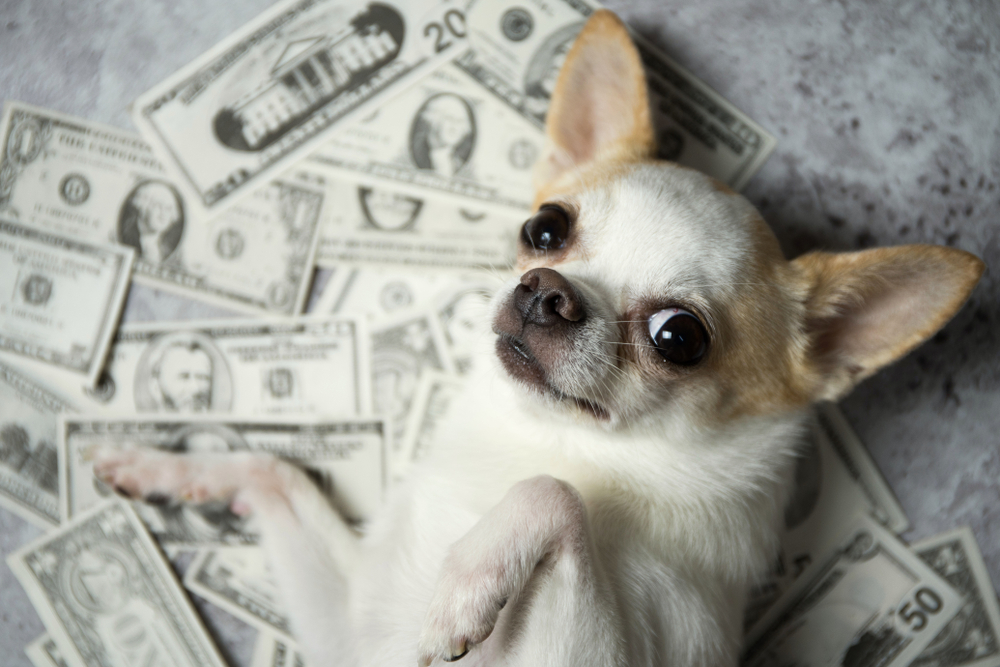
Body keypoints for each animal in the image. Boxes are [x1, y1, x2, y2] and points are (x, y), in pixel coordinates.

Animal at [95, 10, 984, 667]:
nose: (547, 291)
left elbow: (553, 494)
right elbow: (275, 471)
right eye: (546, 228)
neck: (538, 441)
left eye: (678, 336)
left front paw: (464, 585)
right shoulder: (346, 629)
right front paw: (167, 466)